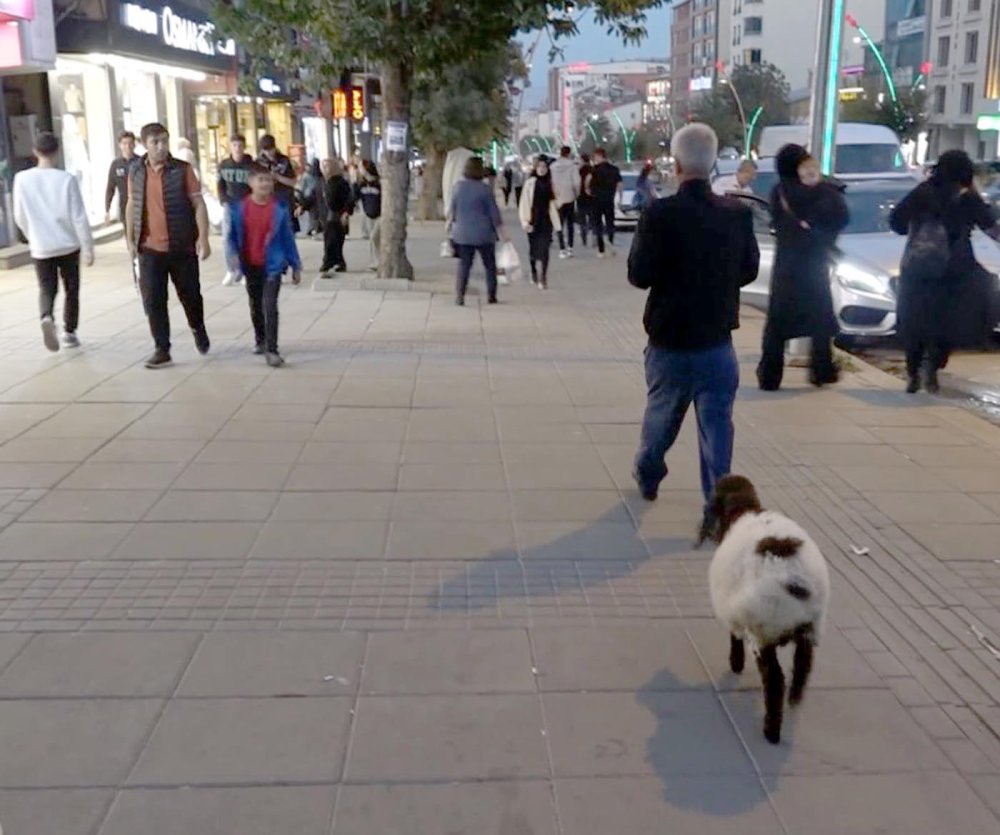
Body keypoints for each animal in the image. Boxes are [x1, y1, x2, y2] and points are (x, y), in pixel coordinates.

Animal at [708, 476, 832, 744]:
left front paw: (735, 664)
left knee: (775, 681)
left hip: (763, 631)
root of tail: (794, 580)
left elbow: (734, 638)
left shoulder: (734, 613)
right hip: (810, 626)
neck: (745, 510)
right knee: (803, 665)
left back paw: (772, 731)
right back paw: (794, 699)